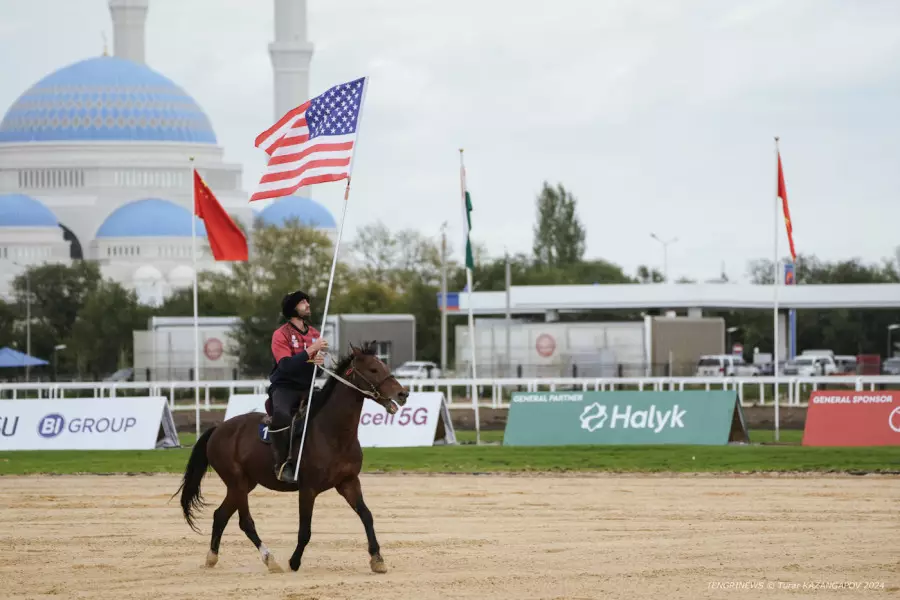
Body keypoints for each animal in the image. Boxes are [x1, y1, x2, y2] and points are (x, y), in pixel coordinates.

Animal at [173, 340, 412, 576]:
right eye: (373, 369)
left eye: (384, 366)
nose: (403, 394)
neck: (332, 432)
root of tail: (218, 428)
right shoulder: (308, 489)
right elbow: (305, 530)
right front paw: (294, 561)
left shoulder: (348, 482)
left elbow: (367, 516)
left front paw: (377, 558)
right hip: (237, 482)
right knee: (245, 522)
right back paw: (269, 559)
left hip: (244, 484)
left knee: (220, 515)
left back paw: (212, 557)